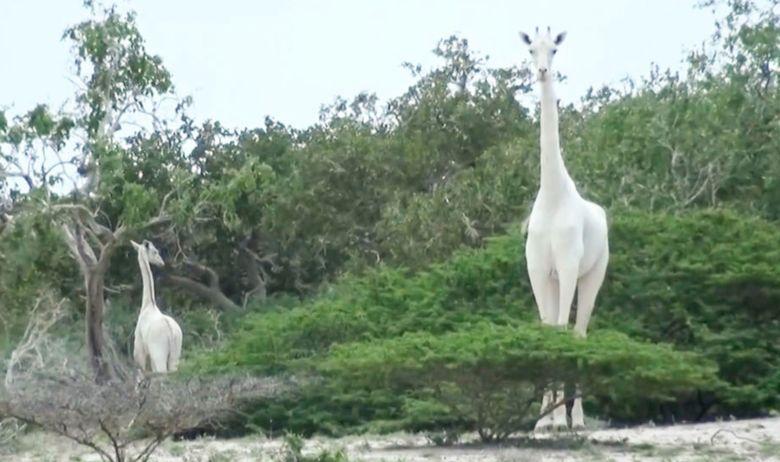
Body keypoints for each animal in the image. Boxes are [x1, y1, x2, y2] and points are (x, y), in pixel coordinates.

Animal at [133, 240, 185, 374]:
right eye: (155, 251)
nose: (162, 263)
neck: (148, 305)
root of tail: (171, 332)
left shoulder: (140, 353)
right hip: (175, 355)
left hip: (158, 354)